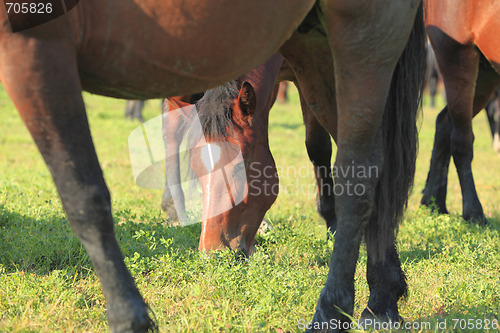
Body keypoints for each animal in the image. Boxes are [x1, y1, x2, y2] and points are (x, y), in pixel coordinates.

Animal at [422, 0, 500, 223]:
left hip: (486, 72)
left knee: (444, 124)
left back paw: (434, 203)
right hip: (457, 59)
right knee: (461, 141)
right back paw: (473, 211)